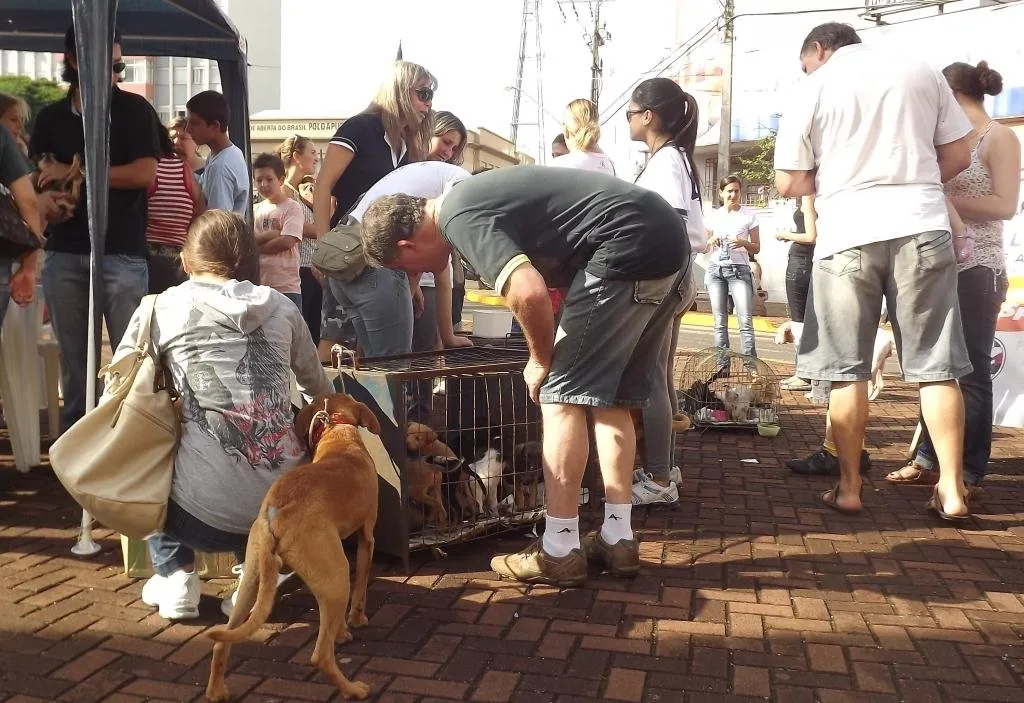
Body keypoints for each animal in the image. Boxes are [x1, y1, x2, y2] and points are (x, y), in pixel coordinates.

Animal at [205, 392, 382, 699]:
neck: (339, 435)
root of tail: (276, 513)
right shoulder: (366, 538)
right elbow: (360, 590)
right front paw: (356, 621)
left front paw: (343, 632)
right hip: (336, 577)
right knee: (321, 655)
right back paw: (354, 689)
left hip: (252, 580)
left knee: (221, 640)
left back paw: (216, 691)